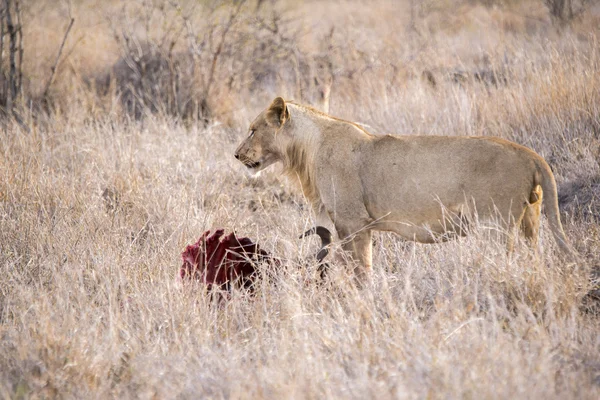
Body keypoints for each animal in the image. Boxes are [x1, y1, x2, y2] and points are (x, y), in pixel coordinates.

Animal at [233, 97, 572, 282]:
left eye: (252, 130)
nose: (236, 154)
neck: (307, 149)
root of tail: (531, 154)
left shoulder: (353, 223)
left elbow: (360, 269)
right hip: (530, 222)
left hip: (496, 225)